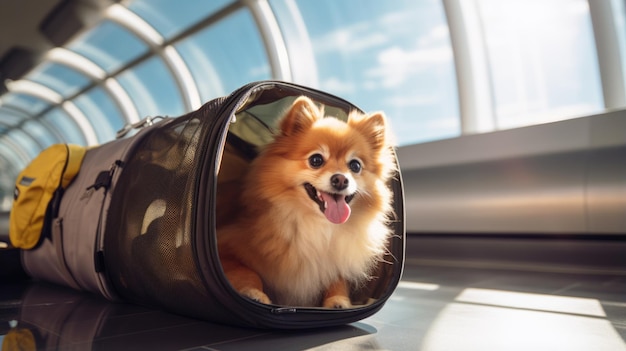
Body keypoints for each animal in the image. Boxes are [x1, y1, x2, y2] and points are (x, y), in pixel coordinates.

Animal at [217, 96, 392, 308]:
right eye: (316, 160)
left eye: (355, 166)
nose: (341, 179)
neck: (316, 225)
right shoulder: (225, 249)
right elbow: (248, 271)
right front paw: (254, 293)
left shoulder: (336, 260)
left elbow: (337, 280)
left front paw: (338, 301)